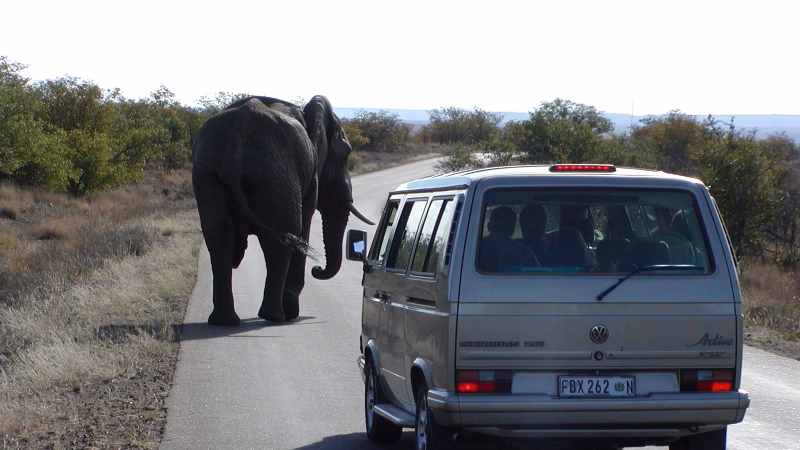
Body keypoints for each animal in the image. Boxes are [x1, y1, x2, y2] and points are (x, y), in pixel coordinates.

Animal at [192, 95, 373, 326]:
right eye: (345, 156)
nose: (317, 269)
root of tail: (237, 140)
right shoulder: (311, 171)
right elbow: (305, 222)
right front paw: (292, 312)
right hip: (276, 175)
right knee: (283, 238)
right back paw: (276, 316)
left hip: (207, 175)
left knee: (220, 237)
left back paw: (225, 321)